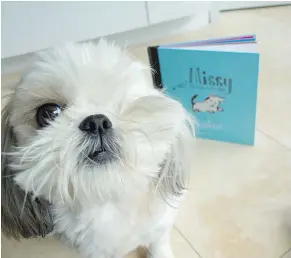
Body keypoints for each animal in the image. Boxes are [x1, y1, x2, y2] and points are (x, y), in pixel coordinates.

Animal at [1, 40, 196, 258]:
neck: (109, 198)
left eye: (123, 102)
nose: (96, 122)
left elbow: (158, 242)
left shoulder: (159, 225)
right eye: (49, 112)